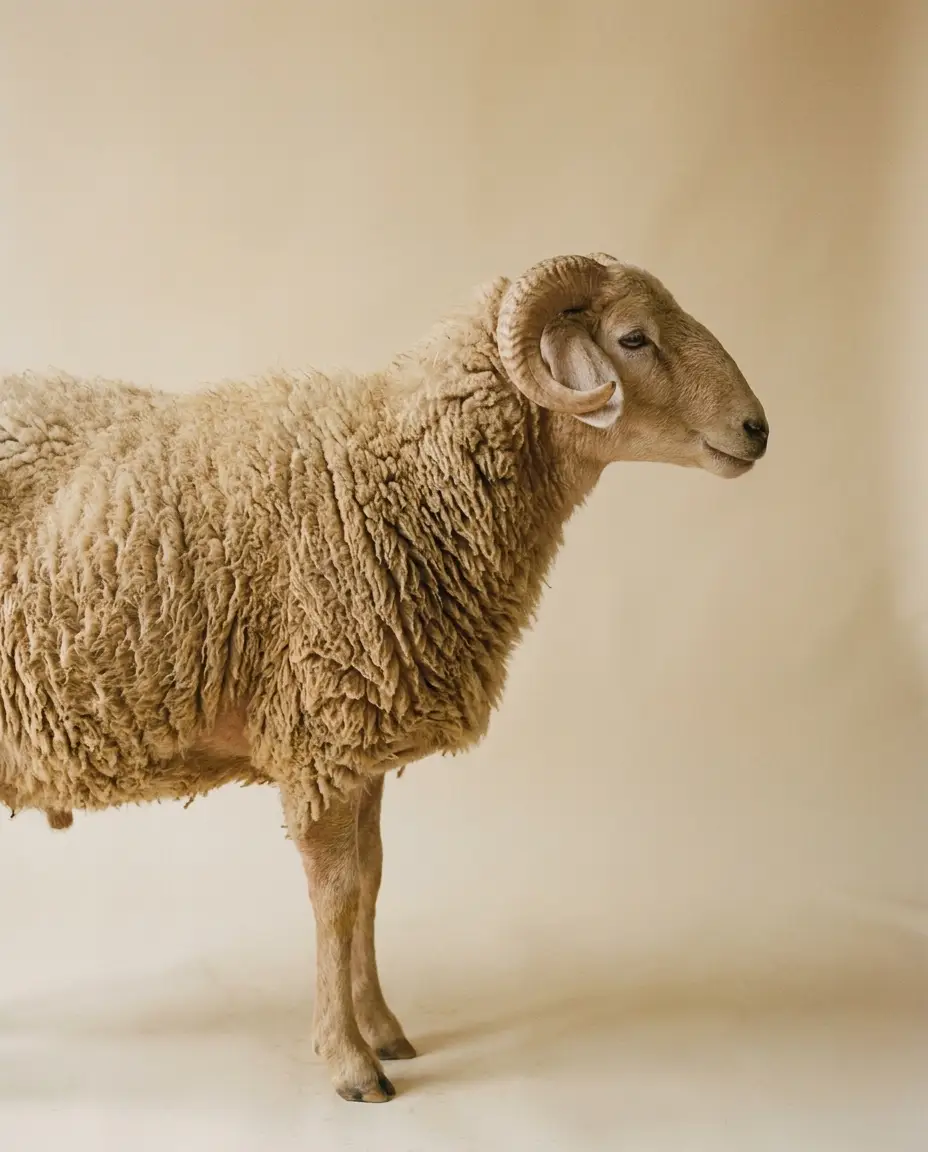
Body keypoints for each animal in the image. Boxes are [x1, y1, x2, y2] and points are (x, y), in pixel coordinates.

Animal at [0, 252, 768, 1102]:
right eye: (633, 338)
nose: (758, 429)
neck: (405, 475)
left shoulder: (357, 737)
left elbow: (370, 884)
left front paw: (384, 1029)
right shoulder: (320, 735)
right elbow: (334, 901)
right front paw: (348, 1061)